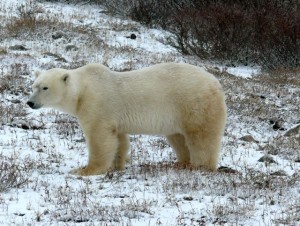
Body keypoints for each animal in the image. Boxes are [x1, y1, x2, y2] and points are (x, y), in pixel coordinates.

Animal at [27, 62, 225, 176]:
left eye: (45, 88)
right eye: (34, 86)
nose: (30, 102)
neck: (83, 89)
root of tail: (216, 83)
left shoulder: (97, 105)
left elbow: (100, 138)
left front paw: (85, 170)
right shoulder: (114, 118)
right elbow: (118, 139)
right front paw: (116, 165)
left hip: (194, 103)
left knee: (200, 136)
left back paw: (199, 166)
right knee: (178, 138)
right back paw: (180, 164)